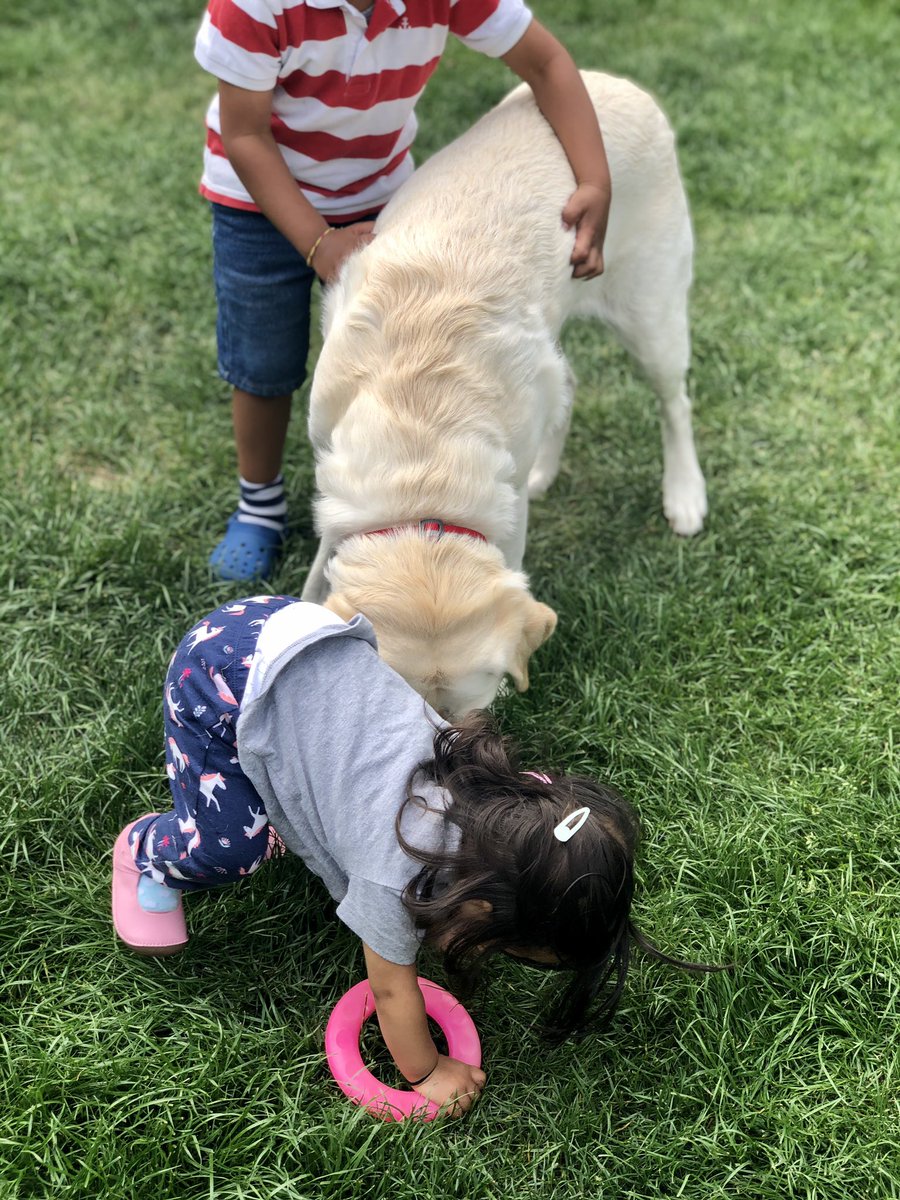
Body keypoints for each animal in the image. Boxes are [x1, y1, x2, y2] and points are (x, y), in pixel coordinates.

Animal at [304, 70, 710, 715]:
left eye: (475, 707)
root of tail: (617, 83)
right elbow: (322, 561)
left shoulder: (503, 505)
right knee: (568, 385)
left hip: (652, 314)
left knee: (675, 402)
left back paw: (685, 493)